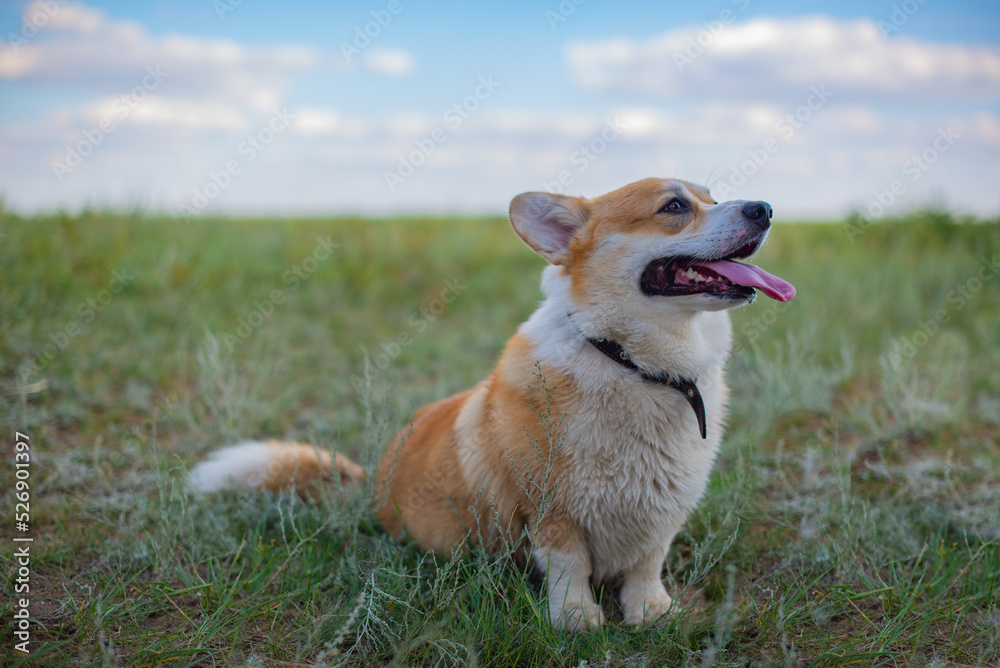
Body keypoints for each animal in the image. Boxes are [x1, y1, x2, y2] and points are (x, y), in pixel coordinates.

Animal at [189, 177, 796, 632]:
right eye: (674, 207)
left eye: (711, 196)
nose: (764, 208)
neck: (634, 364)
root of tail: (371, 483)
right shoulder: (551, 511)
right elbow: (570, 566)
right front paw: (576, 621)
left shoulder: (663, 510)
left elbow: (649, 559)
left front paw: (649, 610)